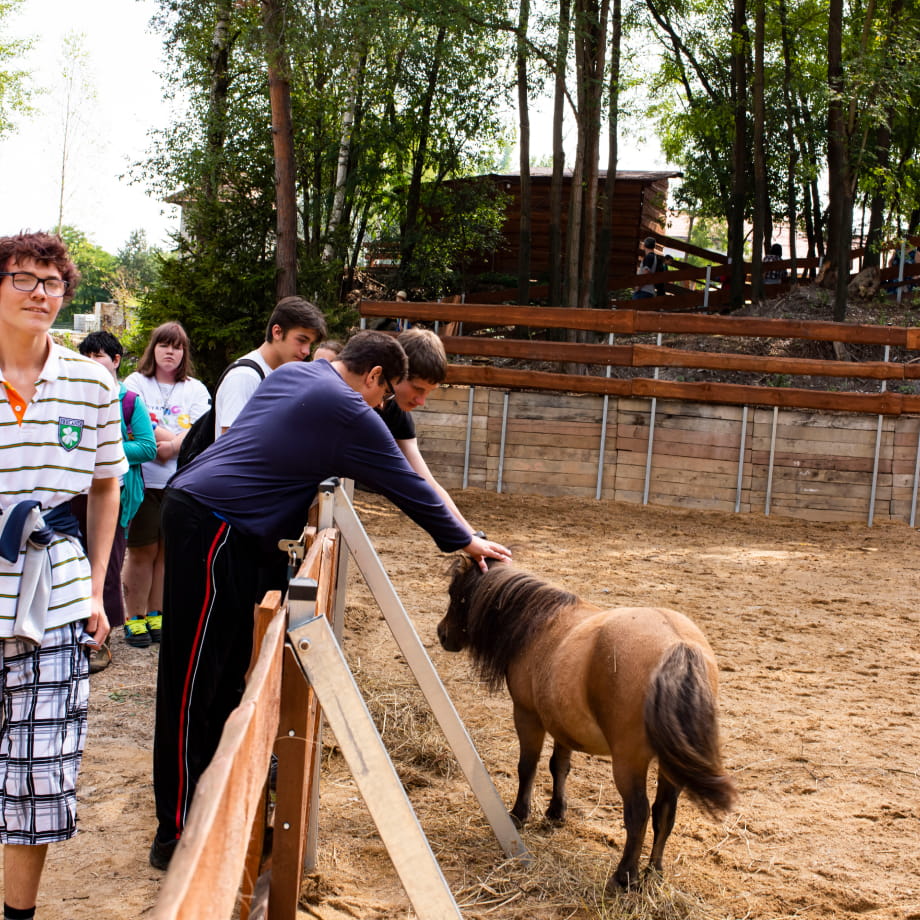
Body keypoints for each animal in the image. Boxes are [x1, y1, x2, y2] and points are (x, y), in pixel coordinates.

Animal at [434, 552, 736, 892]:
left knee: (639, 814)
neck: (539, 623)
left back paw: (624, 876)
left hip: (628, 761)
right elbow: (559, 767)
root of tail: (678, 645)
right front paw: (555, 813)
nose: (442, 634)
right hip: (667, 765)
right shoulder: (562, 725)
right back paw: (653, 872)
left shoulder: (527, 715)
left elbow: (528, 767)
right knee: (664, 812)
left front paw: (519, 814)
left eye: (454, 593)